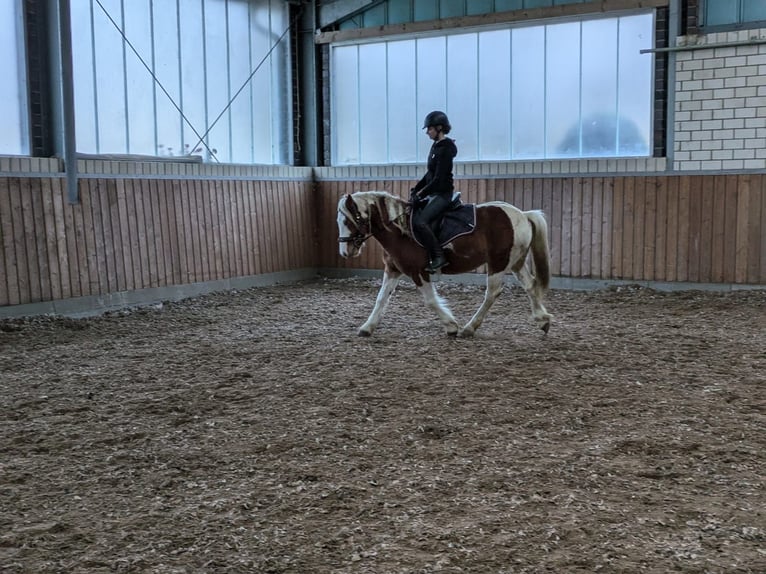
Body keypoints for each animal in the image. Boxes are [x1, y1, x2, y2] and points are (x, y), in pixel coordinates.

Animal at [336, 191, 552, 340]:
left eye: (351, 219)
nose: (346, 252)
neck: (400, 231)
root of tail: (523, 214)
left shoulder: (418, 271)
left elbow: (430, 300)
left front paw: (451, 326)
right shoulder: (393, 270)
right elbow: (381, 298)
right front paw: (367, 327)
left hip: (498, 262)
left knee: (492, 293)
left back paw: (468, 328)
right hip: (516, 261)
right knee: (530, 285)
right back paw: (542, 320)